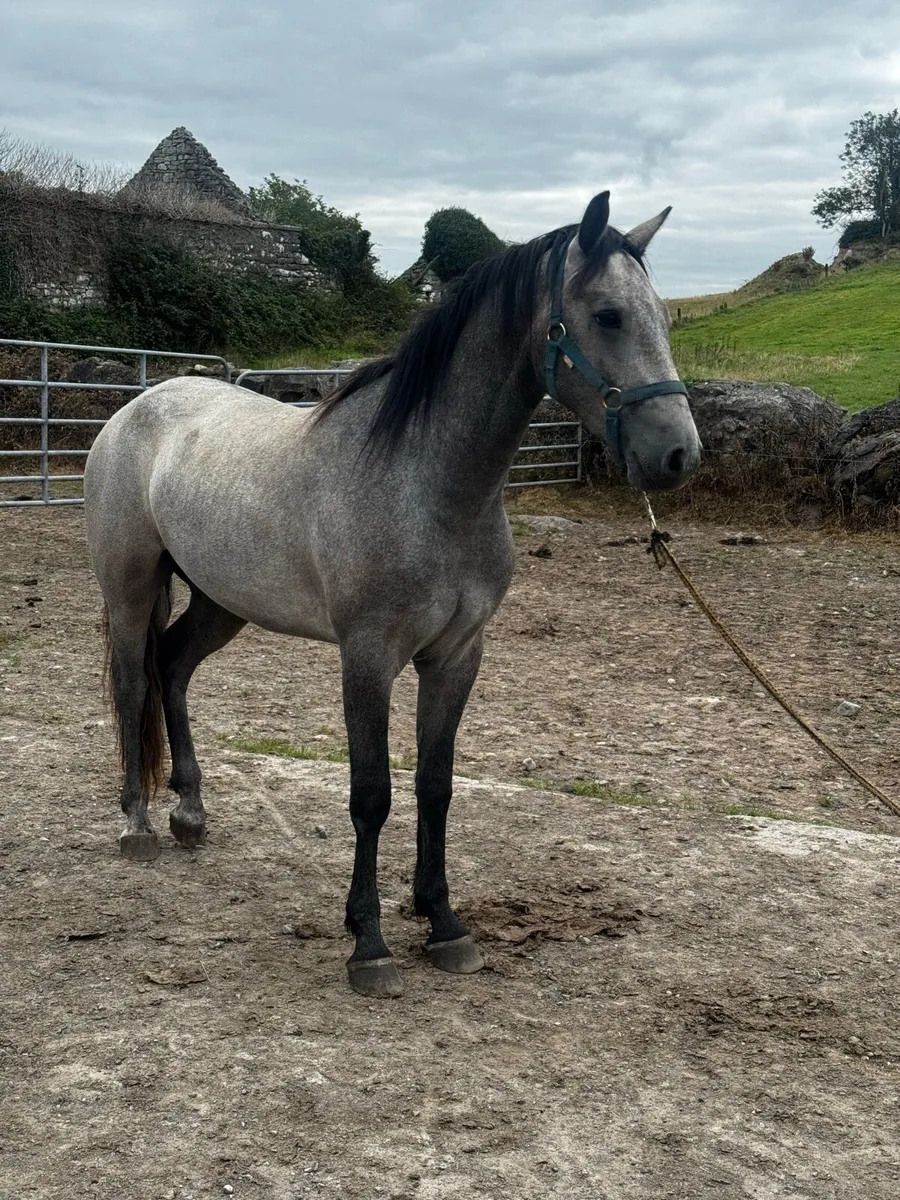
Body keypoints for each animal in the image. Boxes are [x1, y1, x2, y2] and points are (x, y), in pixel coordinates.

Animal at [84, 190, 701, 998]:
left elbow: (435, 785)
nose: (680, 455)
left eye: (662, 316)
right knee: (134, 684)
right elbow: (371, 793)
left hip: (223, 601)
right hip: (130, 587)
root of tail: (137, 408)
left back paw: (190, 813)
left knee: (174, 669)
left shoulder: (457, 655)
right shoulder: (368, 656)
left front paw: (444, 925)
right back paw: (138, 826)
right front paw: (368, 943)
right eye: (607, 315)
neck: (423, 481)